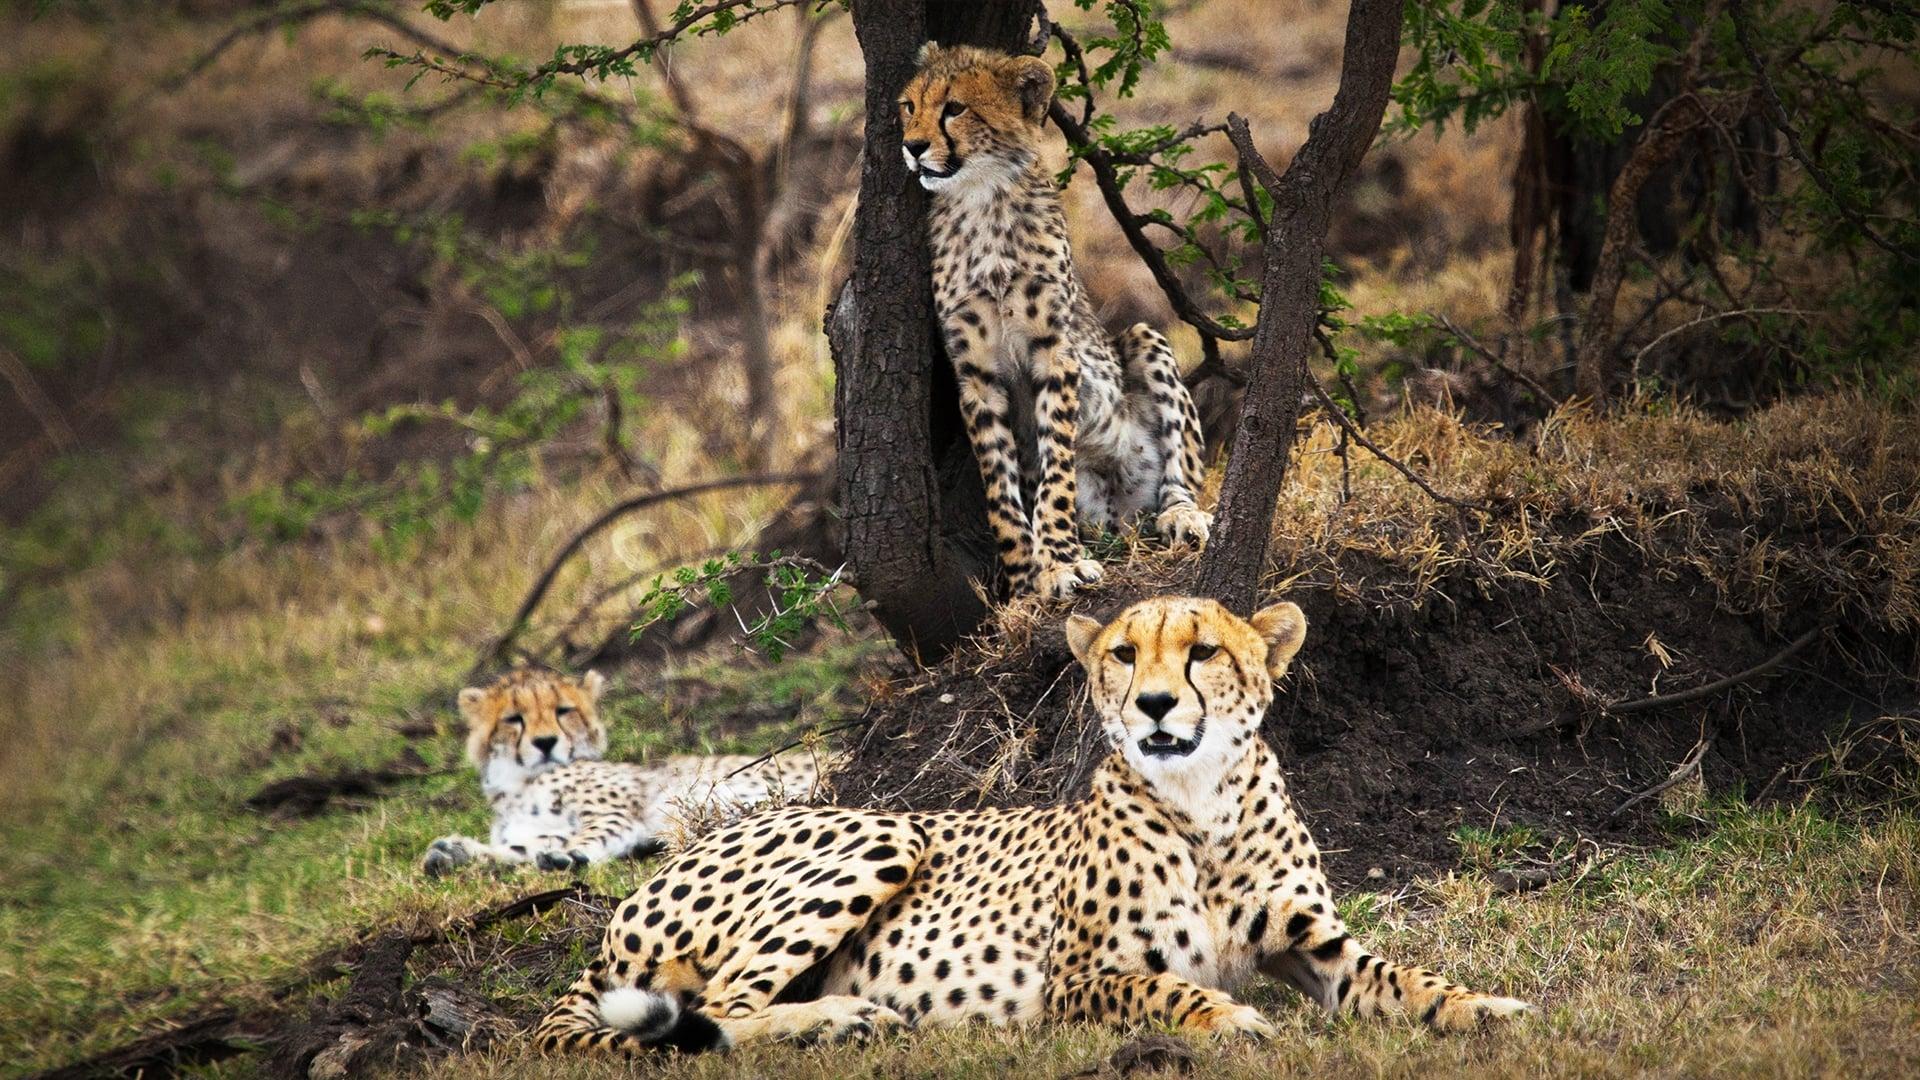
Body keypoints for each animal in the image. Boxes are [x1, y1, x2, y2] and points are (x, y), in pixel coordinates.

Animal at [420, 664, 817, 876]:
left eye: (563, 711)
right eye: (513, 719)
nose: (545, 743)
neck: (518, 782)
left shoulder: (618, 813)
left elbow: (588, 836)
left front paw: (569, 856)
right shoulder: (539, 830)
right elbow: (519, 847)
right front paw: (454, 853)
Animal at [529, 591, 1528, 1045]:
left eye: (1203, 651)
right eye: (1123, 654)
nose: (1155, 705)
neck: (1201, 804)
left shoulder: (1315, 942)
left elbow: (1404, 977)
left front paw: (1484, 1005)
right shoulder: (1072, 980)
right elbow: (1165, 988)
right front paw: (1227, 1018)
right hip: (888, 830)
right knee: (719, 1013)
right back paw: (842, 1020)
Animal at [902, 44, 1205, 595]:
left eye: (954, 108)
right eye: (909, 106)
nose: (912, 147)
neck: (981, 199)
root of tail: (1125, 505)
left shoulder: (1055, 351)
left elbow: (1055, 470)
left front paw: (1061, 559)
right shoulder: (976, 375)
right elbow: (1001, 486)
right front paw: (1026, 581)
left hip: (1143, 337)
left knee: (1183, 468)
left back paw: (1181, 515)